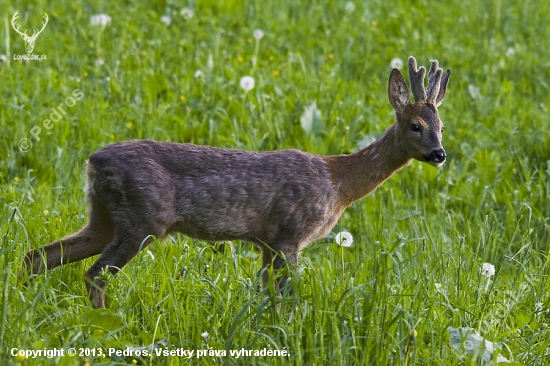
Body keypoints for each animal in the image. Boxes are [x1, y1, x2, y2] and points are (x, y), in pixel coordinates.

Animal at [22, 56, 452, 308]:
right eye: (416, 125)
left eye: (442, 127)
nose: (439, 154)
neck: (339, 183)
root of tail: (93, 162)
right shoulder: (289, 234)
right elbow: (285, 296)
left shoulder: (266, 241)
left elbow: (267, 293)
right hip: (142, 218)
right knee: (92, 274)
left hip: (103, 216)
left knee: (41, 255)